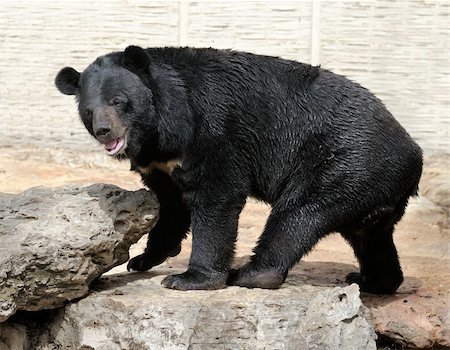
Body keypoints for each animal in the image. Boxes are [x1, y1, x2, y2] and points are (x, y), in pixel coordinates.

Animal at [55, 45, 422, 292]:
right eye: (88, 110)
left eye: (119, 101)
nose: (105, 131)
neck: (158, 131)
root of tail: (414, 155)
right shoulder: (162, 161)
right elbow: (171, 204)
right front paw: (142, 259)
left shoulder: (212, 129)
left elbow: (218, 194)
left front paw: (188, 278)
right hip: (368, 186)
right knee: (369, 235)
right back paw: (374, 280)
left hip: (342, 163)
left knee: (299, 215)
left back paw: (251, 273)